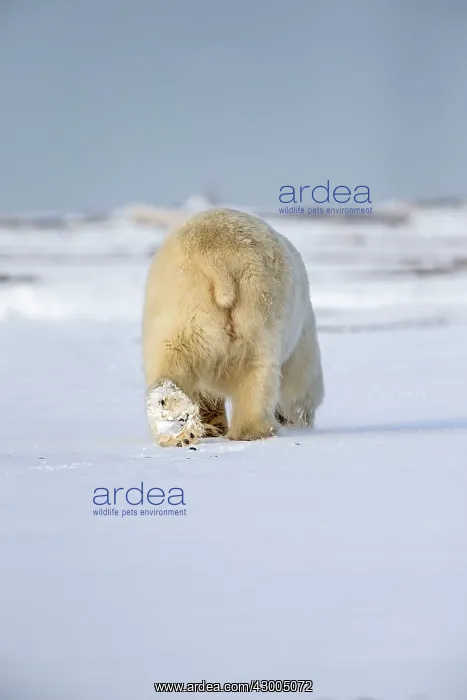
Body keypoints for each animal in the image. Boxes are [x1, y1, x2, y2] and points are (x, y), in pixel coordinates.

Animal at [142, 208, 324, 447]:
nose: (305, 424)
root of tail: (218, 258)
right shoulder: (301, 340)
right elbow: (300, 383)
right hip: (259, 301)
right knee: (256, 369)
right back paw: (255, 431)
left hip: (183, 299)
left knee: (173, 355)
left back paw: (177, 426)